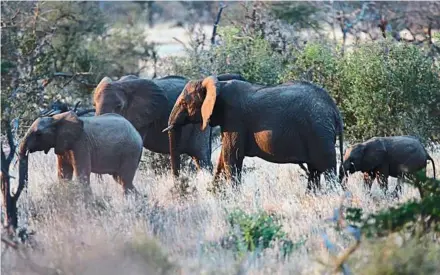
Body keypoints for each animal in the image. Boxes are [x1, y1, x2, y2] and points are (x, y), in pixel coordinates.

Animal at [163, 74, 346, 193]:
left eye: (184, 102)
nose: (177, 186)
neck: (218, 84)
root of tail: (334, 109)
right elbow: (224, 158)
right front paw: (216, 194)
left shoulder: (234, 119)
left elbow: (231, 157)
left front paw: (233, 197)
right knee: (314, 170)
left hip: (319, 131)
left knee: (326, 169)